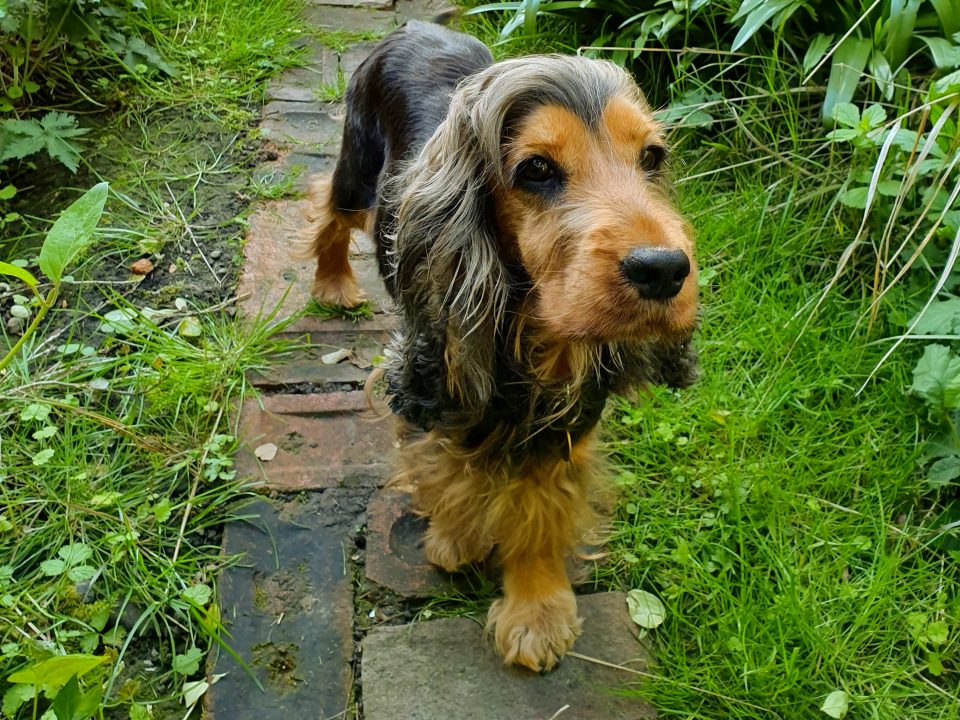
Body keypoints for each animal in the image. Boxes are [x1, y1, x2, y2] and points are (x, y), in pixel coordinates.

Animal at [300, 19, 696, 672]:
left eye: (652, 158)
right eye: (536, 169)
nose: (665, 270)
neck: (531, 331)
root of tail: (415, 24)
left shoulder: (565, 419)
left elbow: (537, 507)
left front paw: (536, 611)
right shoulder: (431, 374)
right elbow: (449, 468)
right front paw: (455, 537)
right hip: (357, 163)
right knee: (330, 210)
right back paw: (332, 283)